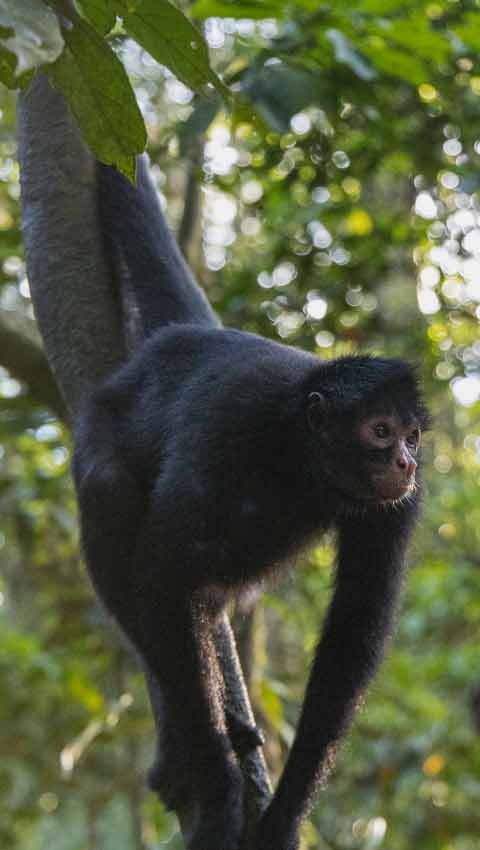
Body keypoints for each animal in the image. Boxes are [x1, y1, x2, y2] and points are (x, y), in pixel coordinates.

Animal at [71, 157, 429, 850]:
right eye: (380, 431)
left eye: (411, 435)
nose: (406, 462)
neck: (298, 454)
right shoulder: (228, 427)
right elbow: (161, 574)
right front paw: (218, 789)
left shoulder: (399, 503)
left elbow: (352, 635)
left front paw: (285, 816)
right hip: (103, 415)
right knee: (110, 494)